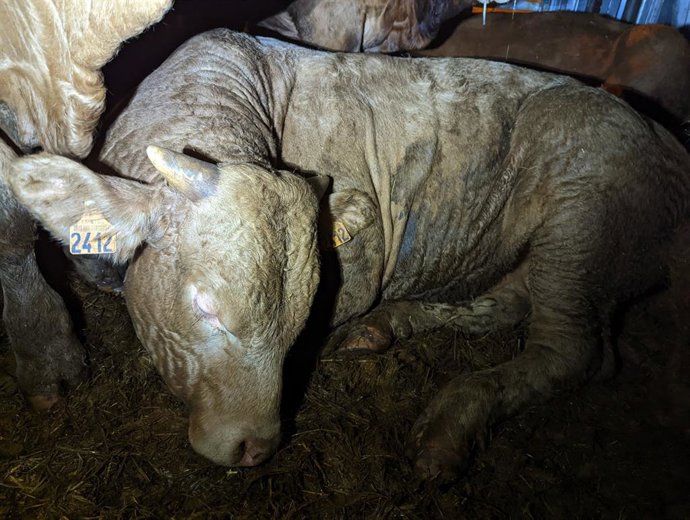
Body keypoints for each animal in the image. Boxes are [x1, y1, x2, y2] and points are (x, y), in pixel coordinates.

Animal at [8, 29, 690, 478]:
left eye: (299, 321)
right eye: (204, 307)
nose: (255, 448)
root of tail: (666, 140)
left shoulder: (358, 272)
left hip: (582, 217)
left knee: (576, 350)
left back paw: (449, 426)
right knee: (507, 306)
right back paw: (386, 329)